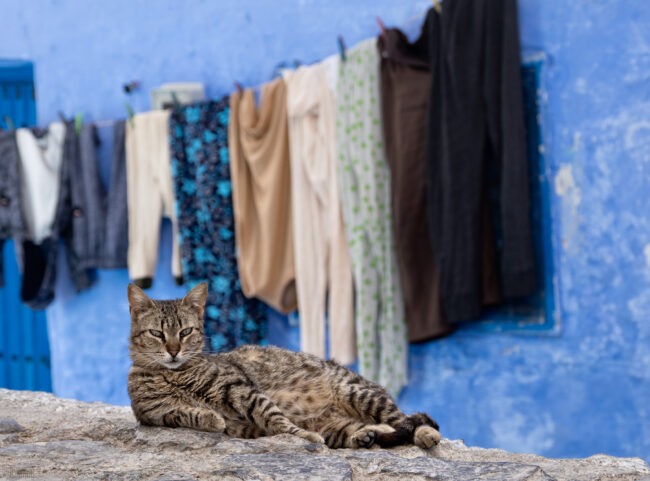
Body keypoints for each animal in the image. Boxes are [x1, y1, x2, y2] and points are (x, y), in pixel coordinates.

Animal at [126, 284, 440, 448]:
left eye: (185, 332)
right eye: (157, 334)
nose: (173, 351)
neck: (173, 375)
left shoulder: (241, 390)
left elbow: (274, 417)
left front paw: (300, 435)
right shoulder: (155, 414)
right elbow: (184, 413)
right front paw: (210, 418)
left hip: (358, 393)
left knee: (406, 419)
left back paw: (426, 435)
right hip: (336, 425)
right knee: (370, 428)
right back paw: (363, 436)